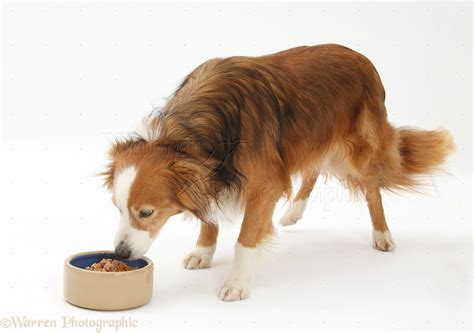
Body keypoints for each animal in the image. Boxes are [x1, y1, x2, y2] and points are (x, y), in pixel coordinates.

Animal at [102, 44, 454, 300]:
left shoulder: (264, 184)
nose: (120, 254)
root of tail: (363, 59)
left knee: (372, 189)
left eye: (146, 212)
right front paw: (203, 251)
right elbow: (209, 216)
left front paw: (237, 283)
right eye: (117, 209)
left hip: (358, 152)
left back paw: (382, 235)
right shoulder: (215, 174)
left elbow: (245, 240)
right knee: (313, 169)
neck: (191, 131)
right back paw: (293, 212)